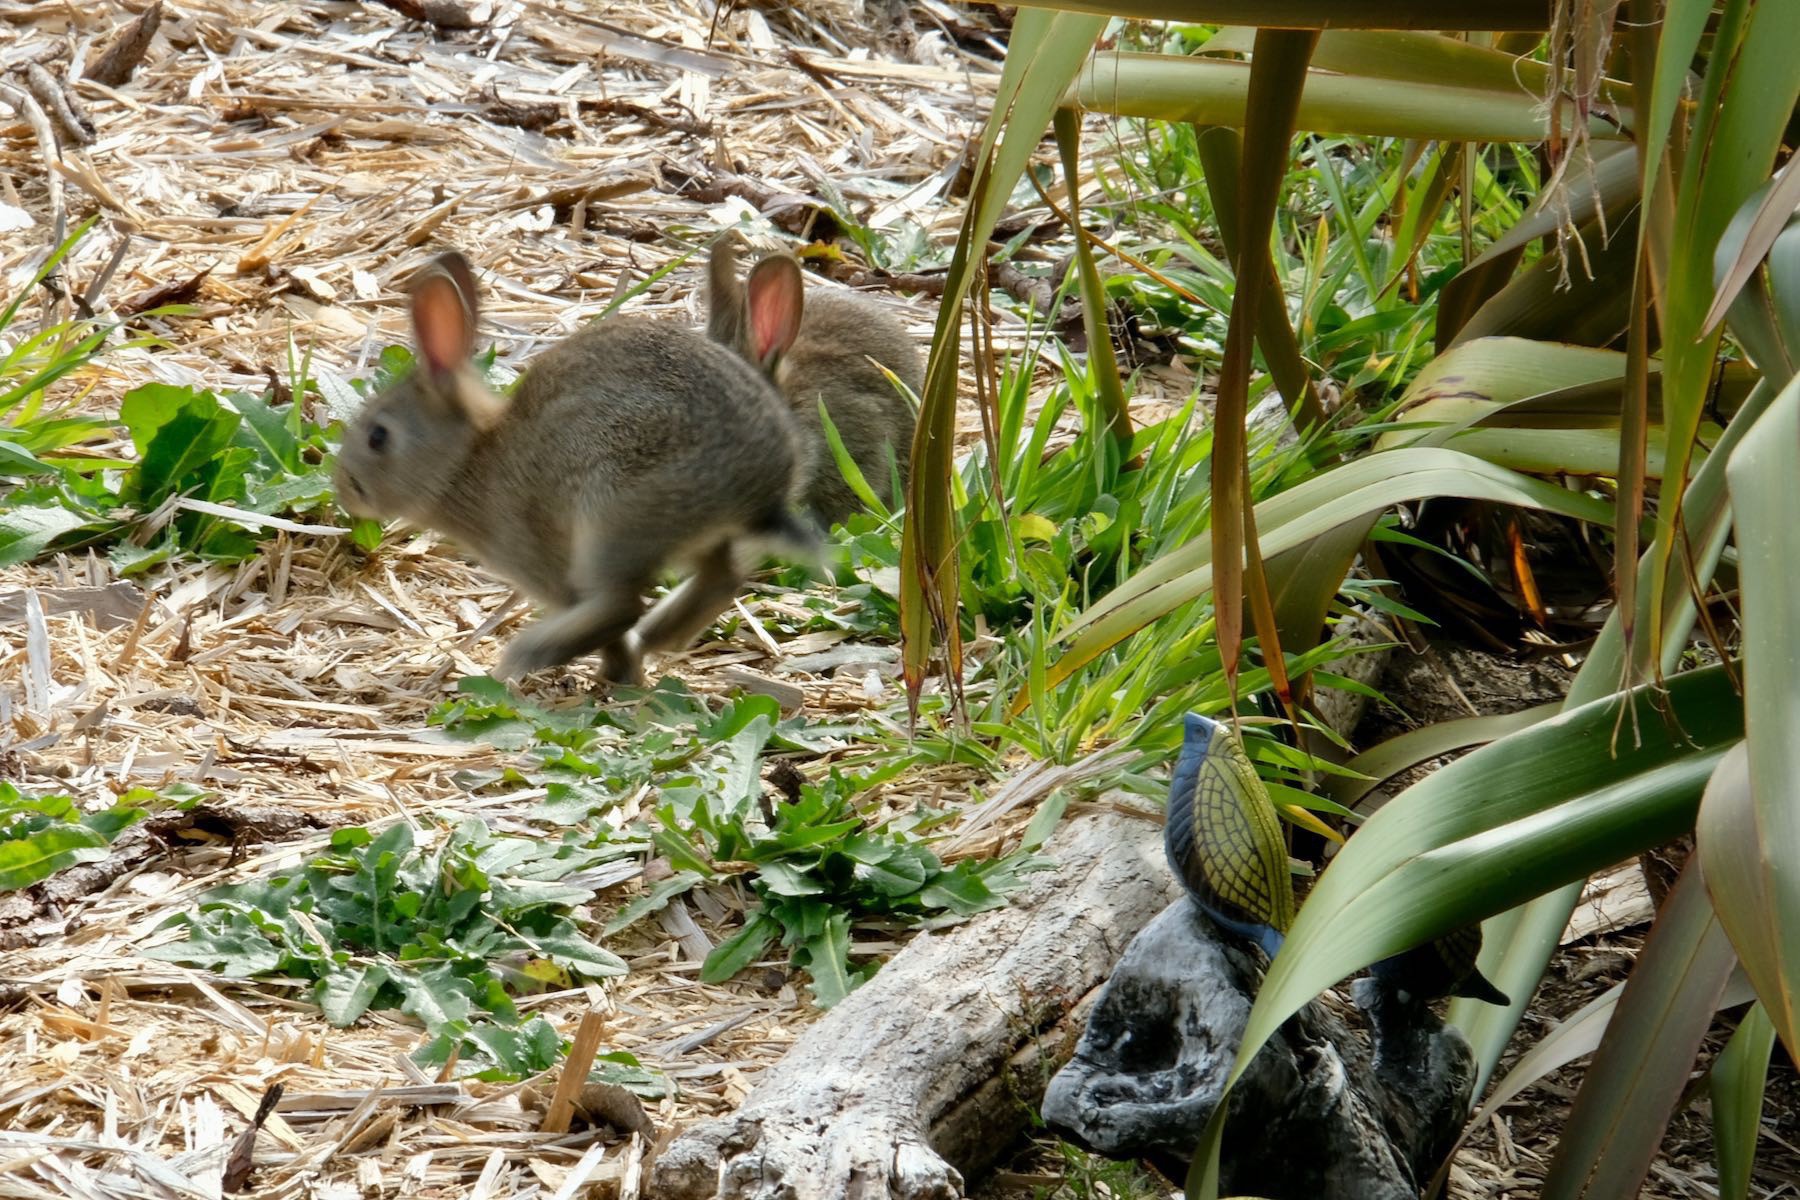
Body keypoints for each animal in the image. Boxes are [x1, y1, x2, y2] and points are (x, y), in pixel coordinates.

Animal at [334, 248, 813, 690]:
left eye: (378, 437)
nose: (345, 489)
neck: (468, 458)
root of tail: (762, 489)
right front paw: (623, 675)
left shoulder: (547, 570)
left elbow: (607, 626)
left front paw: (617, 676)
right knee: (719, 578)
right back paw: (657, 638)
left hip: (613, 517)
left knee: (623, 606)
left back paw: (527, 654)